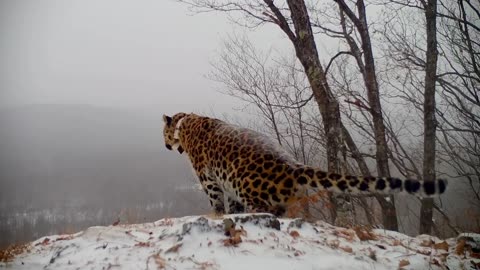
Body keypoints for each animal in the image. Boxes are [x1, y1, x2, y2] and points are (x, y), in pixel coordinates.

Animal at [163, 113, 448, 216]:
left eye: (163, 134)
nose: (166, 146)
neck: (183, 124)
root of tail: (293, 165)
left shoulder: (209, 180)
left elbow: (217, 204)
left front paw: (217, 216)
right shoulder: (226, 184)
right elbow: (231, 206)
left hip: (250, 190)